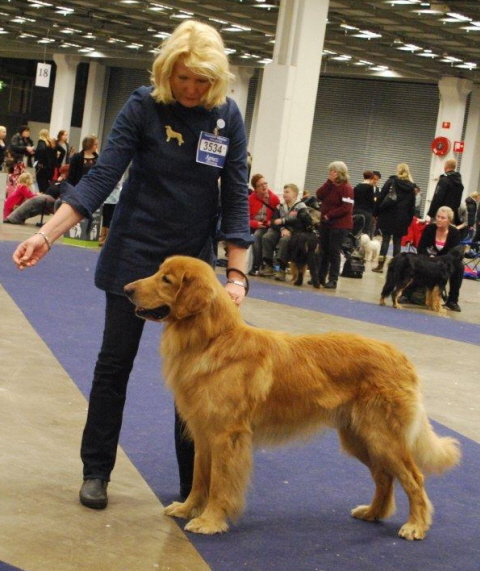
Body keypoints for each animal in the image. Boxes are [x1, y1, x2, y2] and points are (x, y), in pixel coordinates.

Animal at [124, 258, 462, 540]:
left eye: (166, 279)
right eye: (158, 272)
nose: (126, 289)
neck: (213, 341)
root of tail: (401, 356)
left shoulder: (226, 436)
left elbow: (219, 483)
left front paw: (210, 521)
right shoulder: (203, 433)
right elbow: (199, 479)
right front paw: (187, 508)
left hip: (383, 436)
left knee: (414, 478)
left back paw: (415, 525)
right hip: (360, 438)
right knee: (384, 476)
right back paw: (373, 512)